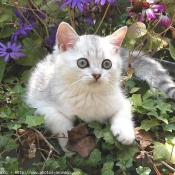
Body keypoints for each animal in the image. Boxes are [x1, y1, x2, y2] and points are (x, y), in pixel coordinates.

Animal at [25, 22, 175, 152]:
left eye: (107, 64)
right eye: (82, 63)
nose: (97, 75)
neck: (89, 96)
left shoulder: (120, 100)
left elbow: (124, 112)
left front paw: (125, 132)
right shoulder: (38, 104)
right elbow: (58, 120)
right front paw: (68, 142)